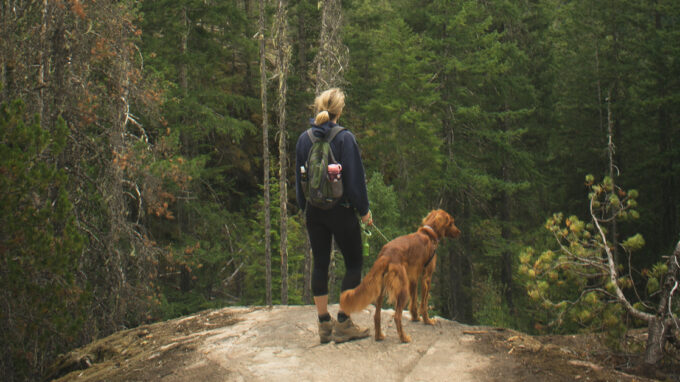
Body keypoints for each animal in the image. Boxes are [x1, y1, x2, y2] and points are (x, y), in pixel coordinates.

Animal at [340, 209, 462, 344]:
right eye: (451, 223)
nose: (459, 232)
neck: (429, 234)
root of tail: (386, 254)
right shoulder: (427, 277)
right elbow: (423, 304)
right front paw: (428, 321)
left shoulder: (413, 278)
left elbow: (414, 302)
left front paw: (415, 317)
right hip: (402, 289)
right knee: (397, 316)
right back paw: (404, 338)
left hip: (382, 289)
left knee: (377, 315)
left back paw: (379, 336)